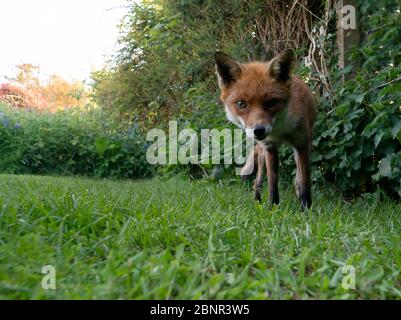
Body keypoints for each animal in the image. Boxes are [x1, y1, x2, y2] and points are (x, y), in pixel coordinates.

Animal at [214, 50, 318, 210]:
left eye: (271, 103)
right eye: (241, 103)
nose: (259, 130)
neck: (280, 130)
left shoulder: (301, 143)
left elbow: (304, 181)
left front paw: (306, 208)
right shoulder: (270, 148)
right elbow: (272, 183)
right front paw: (273, 207)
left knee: (298, 176)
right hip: (263, 154)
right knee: (258, 179)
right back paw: (257, 200)